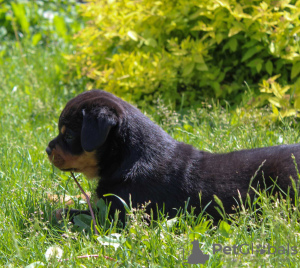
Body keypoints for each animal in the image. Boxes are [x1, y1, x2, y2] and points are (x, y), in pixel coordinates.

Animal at [45, 90, 300, 222]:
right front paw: (53, 197)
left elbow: (73, 213)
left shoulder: (121, 216)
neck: (129, 157)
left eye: (69, 136)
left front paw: (53, 212)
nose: (47, 149)